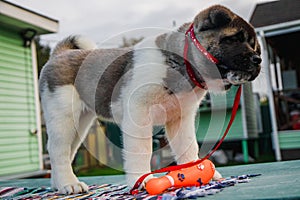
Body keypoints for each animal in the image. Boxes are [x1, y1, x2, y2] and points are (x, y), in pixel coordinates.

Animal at [39, 5, 260, 194]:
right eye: (234, 39)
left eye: (254, 46)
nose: (258, 59)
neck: (182, 64)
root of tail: (59, 54)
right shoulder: (138, 114)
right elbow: (142, 150)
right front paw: (141, 180)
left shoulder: (180, 119)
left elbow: (189, 148)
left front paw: (198, 173)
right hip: (63, 117)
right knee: (58, 151)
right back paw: (70, 184)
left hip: (80, 124)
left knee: (66, 151)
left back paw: (60, 184)